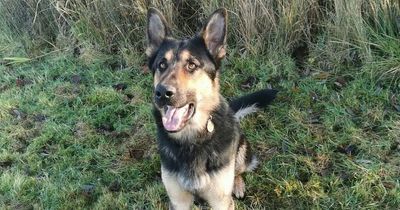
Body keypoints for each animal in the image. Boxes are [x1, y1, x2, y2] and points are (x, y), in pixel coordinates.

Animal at [145, 7, 276, 209]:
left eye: (192, 65)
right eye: (161, 65)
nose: (161, 93)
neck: (191, 140)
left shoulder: (220, 201)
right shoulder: (178, 201)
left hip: (242, 152)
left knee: (238, 171)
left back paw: (237, 185)